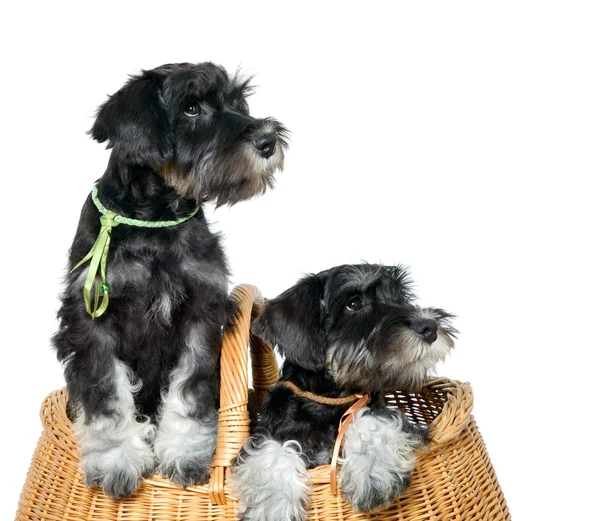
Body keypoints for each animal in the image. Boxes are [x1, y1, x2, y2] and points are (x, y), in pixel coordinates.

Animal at [52, 63, 288, 498]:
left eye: (237, 102)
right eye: (191, 107)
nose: (267, 140)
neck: (154, 218)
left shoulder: (201, 313)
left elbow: (189, 388)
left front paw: (185, 454)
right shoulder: (92, 324)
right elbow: (106, 394)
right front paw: (117, 461)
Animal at [233, 266, 454, 516]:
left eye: (400, 296)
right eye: (354, 303)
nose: (429, 327)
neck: (328, 402)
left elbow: (371, 420)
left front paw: (373, 474)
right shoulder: (266, 433)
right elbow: (271, 452)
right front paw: (273, 507)